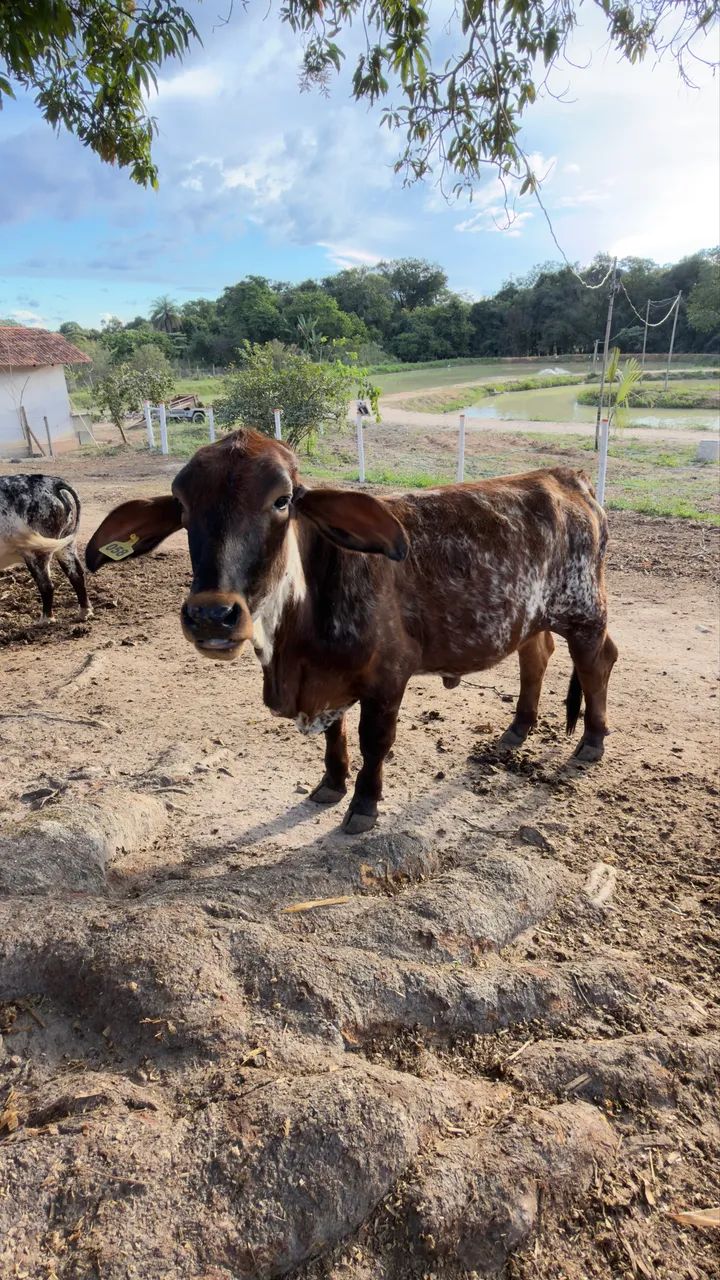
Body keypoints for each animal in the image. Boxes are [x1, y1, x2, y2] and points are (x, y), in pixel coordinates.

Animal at [0, 475, 92, 622]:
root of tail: (52, 482)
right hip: (66, 545)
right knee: (77, 575)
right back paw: (84, 612)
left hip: (36, 552)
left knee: (47, 586)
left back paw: (45, 619)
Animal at [85, 429, 618, 833]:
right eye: (181, 504)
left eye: (282, 500)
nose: (212, 615)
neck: (293, 648)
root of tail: (566, 477)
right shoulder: (327, 684)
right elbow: (333, 734)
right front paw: (331, 785)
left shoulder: (388, 678)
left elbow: (373, 740)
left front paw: (363, 804)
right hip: (533, 615)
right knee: (537, 655)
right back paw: (518, 729)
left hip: (584, 609)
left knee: (598, 661)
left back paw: (592, 742)